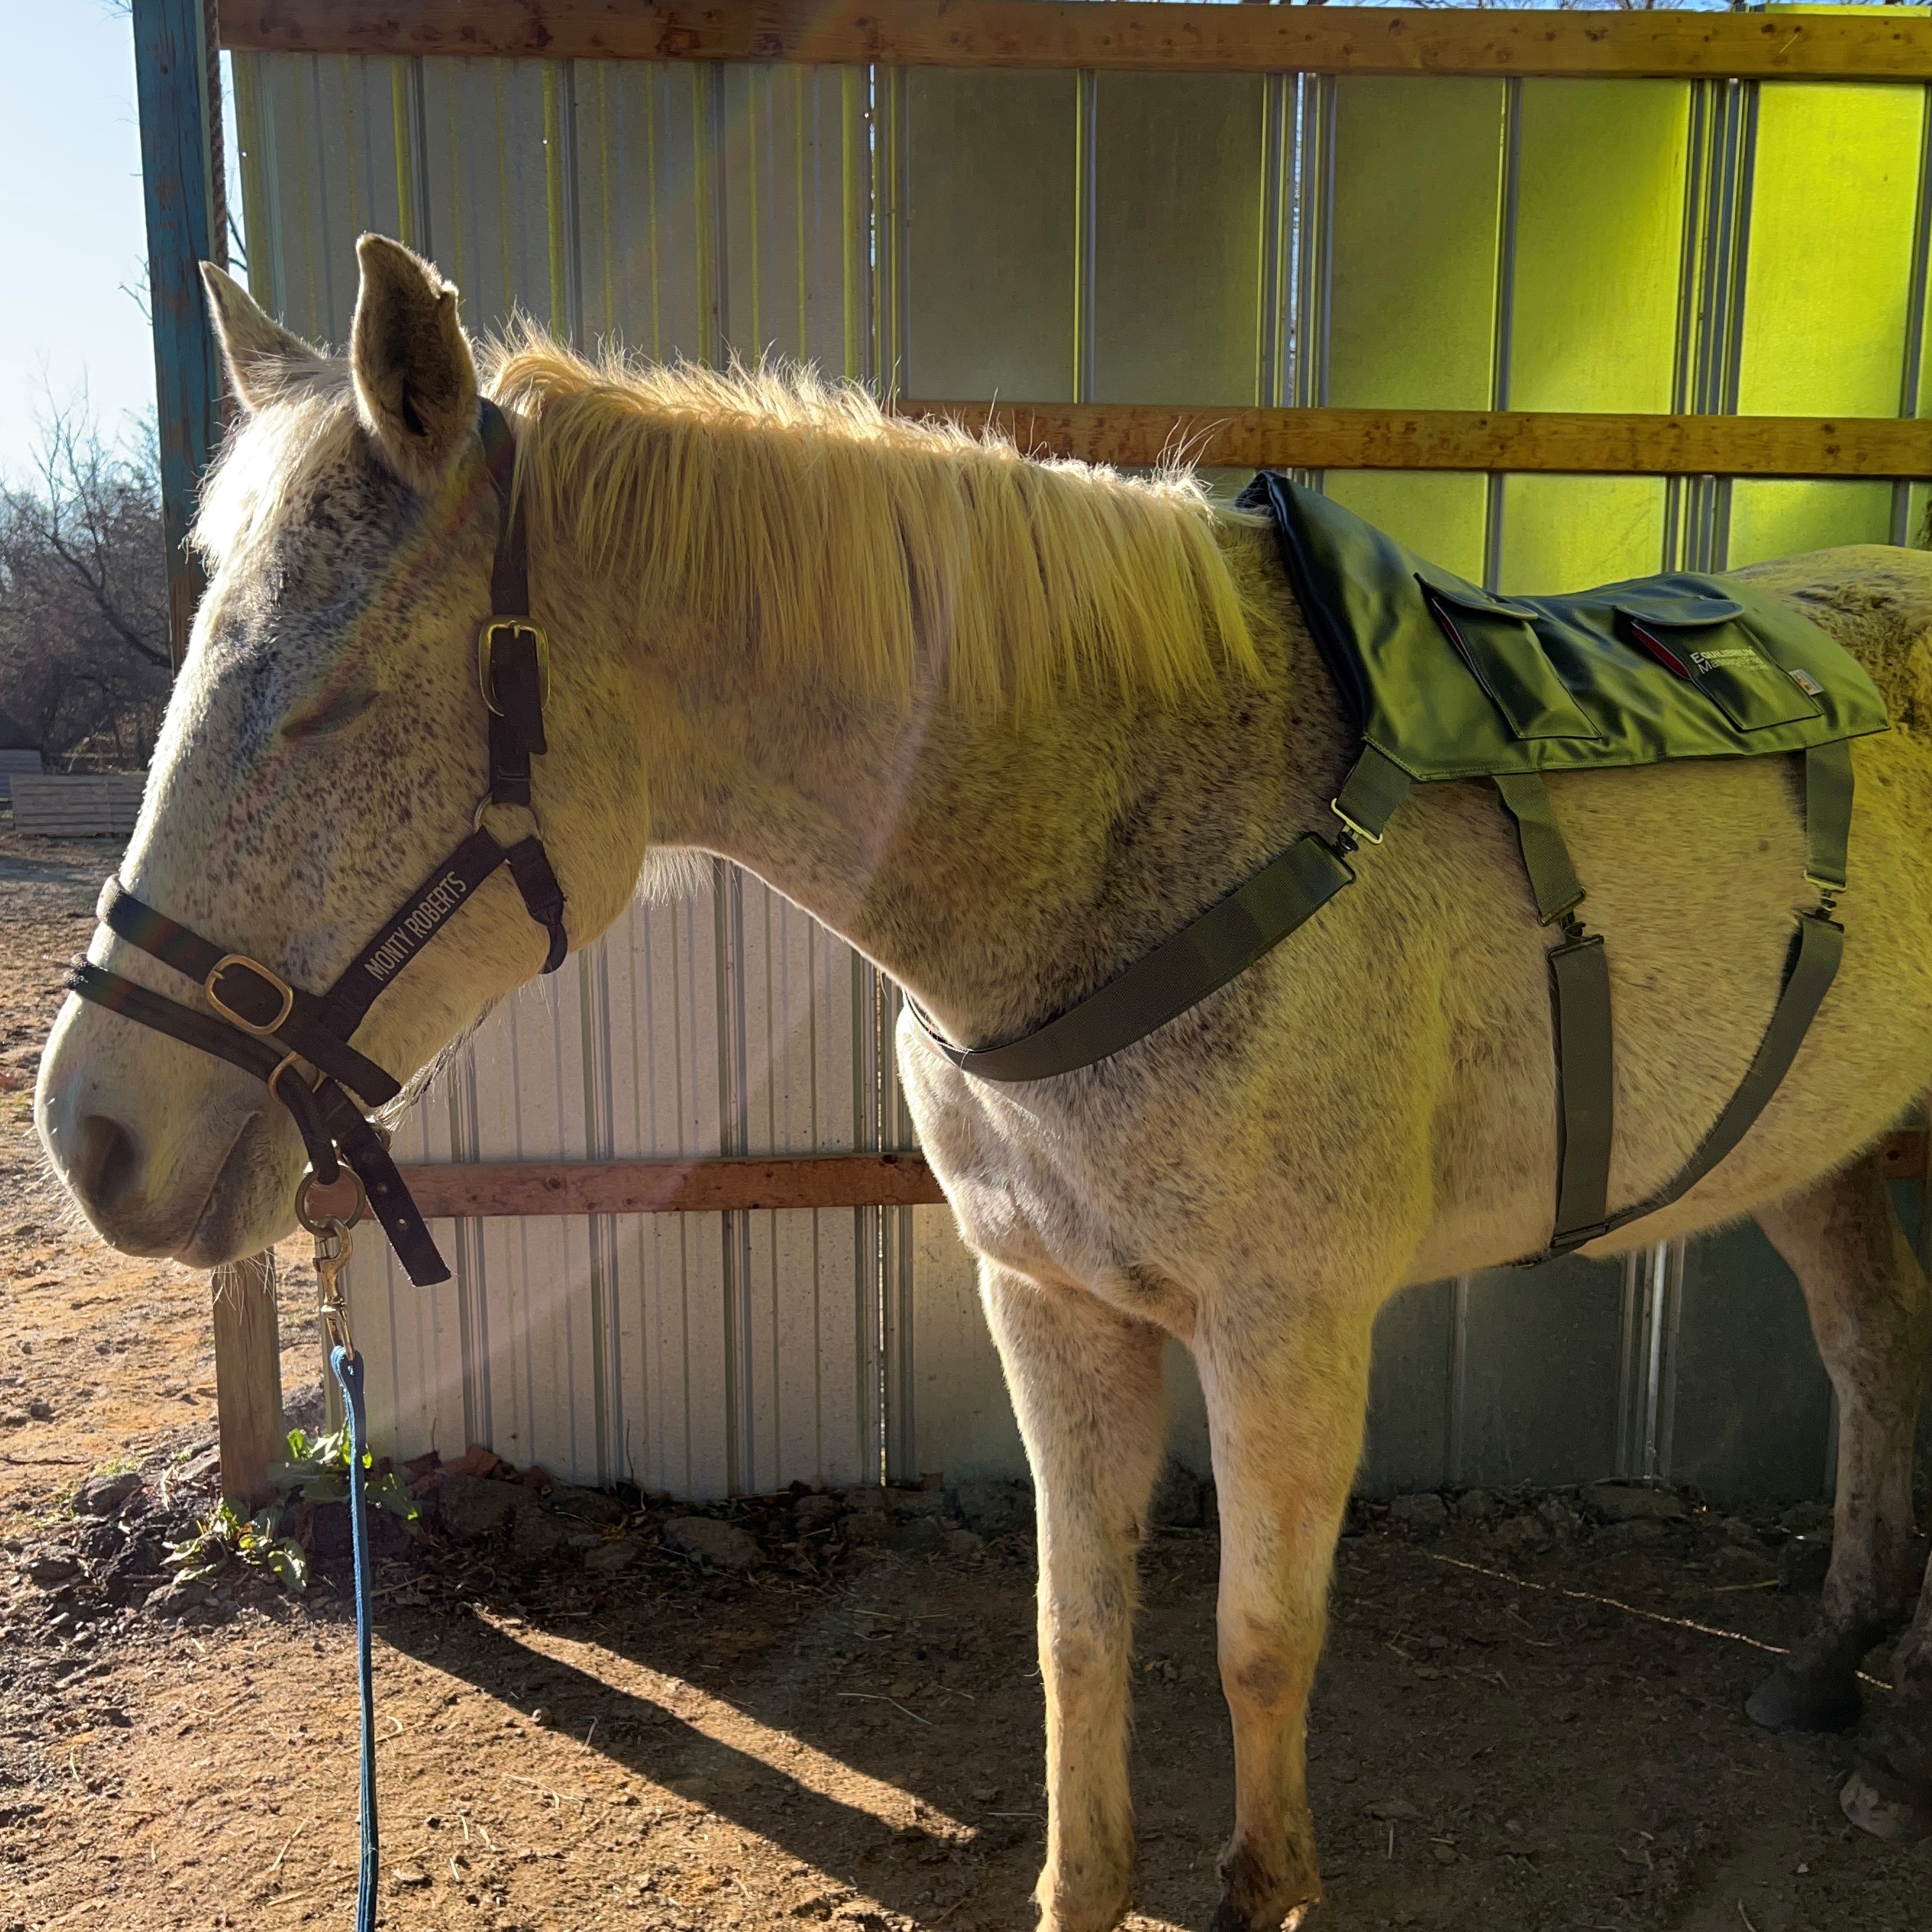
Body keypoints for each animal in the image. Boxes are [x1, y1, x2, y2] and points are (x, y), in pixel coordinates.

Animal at [34, 238, 1932, 1916]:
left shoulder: (1287, 1329)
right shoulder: (1048, 1300)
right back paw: (1831, 1657)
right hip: (1825, 1153)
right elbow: (1077, 1631)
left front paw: (1265, 1888)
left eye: (333, 705)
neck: (1130, 839)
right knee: (1869, 1350)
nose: (93, 1135)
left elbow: (1259, 1642)